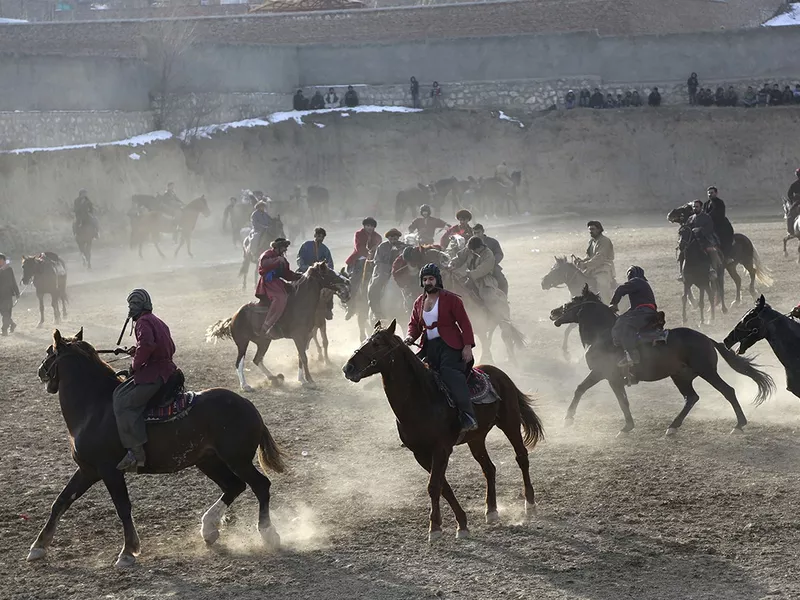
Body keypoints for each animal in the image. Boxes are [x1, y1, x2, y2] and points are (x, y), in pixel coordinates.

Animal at [28, 330, 284, 568]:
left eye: (49, 352)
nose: (40, 371)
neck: (94, 408)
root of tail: (249, 407)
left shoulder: (110, 471)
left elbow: (123, 508)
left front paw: (128, 551)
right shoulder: (88, 470)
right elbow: (61, 501)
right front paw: (38, 546)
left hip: (237, 460)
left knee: (260, 485)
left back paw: (268, 533)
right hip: (208, 461)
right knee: (234, 486)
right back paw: (209, 529)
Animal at [206, 262, 350, 390]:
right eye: (329, 273)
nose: (347, 283)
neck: (301, 303)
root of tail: (234, 317)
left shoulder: (305, 337)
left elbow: (300, 356)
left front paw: (302, 380)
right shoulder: (298, 337)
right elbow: (304, 357)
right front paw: (310, 381)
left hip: (263, 342)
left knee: (257, 359)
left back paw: (274, 378)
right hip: (243, 343)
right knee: (239, 363)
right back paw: (245, 385)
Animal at [340, 322, 548, 540]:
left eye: (377, 343)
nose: (348, 368)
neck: (422, 399)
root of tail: (499, 373)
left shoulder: (441, 449)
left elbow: (434, 486)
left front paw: (435, 528)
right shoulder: (421, 454)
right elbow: (443, 487)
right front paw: (461, 523)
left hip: (510, 423)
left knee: (521, 457)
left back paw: (529, 504)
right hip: (476, 438)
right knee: (489, 468)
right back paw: (491, 511)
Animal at [552, 286, 776, 436]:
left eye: (571, 302)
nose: (553, 312)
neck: (603, 335)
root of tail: (706, 338)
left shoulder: (606, 375)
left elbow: (610, 397)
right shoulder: (607, 376)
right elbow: (592, 392)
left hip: (707, 371)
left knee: (727, 391)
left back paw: (739, 424)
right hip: (680, 376)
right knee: (691, 398)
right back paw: (673, 426)